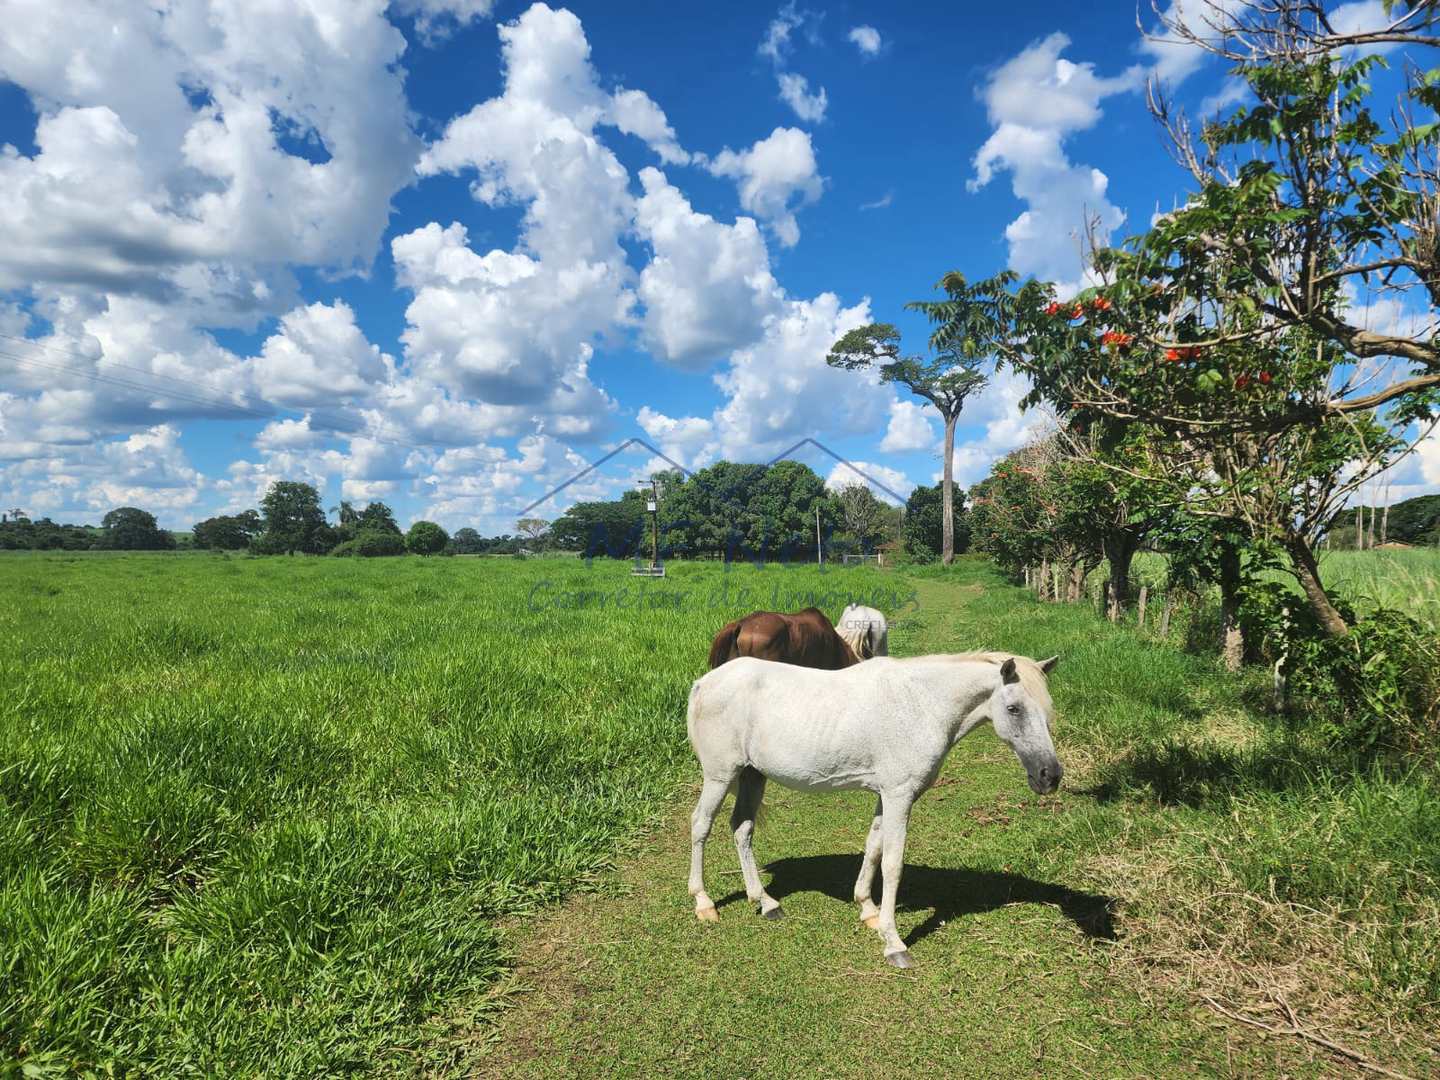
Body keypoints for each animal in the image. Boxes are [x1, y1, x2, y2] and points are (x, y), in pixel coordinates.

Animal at [685, 650, 1059, 973]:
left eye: (1046, 710)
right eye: (1013, 708)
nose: (1050, 776)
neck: (920, 704)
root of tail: (704, 682)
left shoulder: (887, 796)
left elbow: (874, 847)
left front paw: (867, 909)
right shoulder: (899, 796)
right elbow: (893, 864)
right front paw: (894, 943)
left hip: (753, 775)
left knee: (742, 828)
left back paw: (765, 902)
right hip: (720, 776)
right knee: (701, 825)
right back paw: (704, 903)